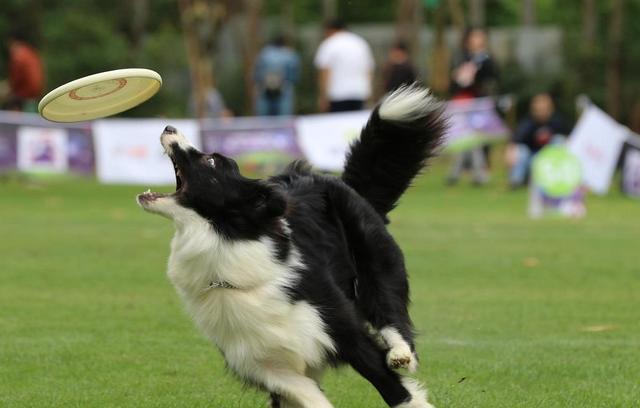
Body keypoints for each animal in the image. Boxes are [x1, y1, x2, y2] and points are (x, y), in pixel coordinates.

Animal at [136, 84, 444, 406]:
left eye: (210, 161)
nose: (169, 127)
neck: (224, 243)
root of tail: (335, 180)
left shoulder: (339, 326)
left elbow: (394, 388)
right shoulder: (261, 360)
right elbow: (307, 395)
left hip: (375, 263)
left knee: (390, 313)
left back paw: (401, 353)